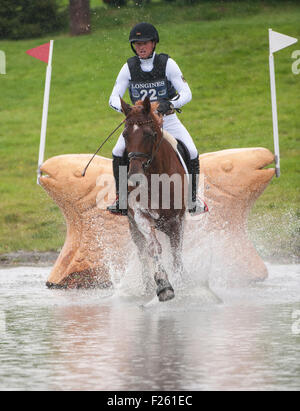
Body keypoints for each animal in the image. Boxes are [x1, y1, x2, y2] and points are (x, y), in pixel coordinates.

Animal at [120, 97, 188, 302]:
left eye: (149, 134)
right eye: (125, 135)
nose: (134, 178)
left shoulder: (175, 221)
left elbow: (176, 252)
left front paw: (180, 282)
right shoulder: (140, 216)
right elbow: (154, 248)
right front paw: (163, 285)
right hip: (133, 227)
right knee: (142, 252)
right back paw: (148, 287)